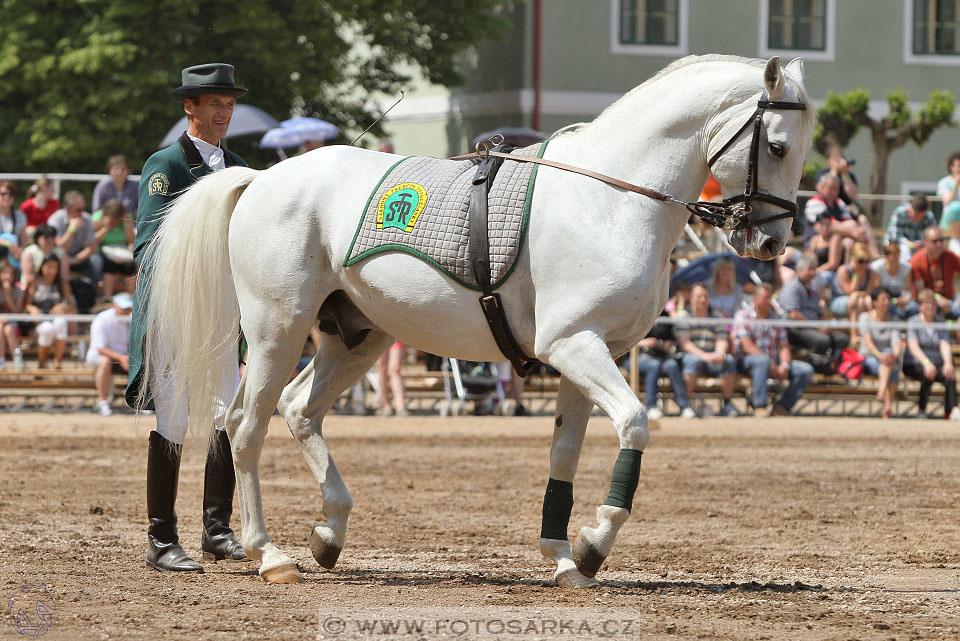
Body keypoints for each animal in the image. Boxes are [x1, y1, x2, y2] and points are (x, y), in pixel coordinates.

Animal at [141, 55, 816, 584]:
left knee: (298, 409)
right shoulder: (576, 346)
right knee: (243, 425)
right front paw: (593, 544)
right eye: (777, 146)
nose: (770, 244)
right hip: (277, 332)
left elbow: (564, 452)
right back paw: (267, 553)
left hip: (355, 338)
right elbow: (635, 424)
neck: (610, 200)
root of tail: (260, 178)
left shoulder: (591, 354)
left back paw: (328, 534)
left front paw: (563, 557)